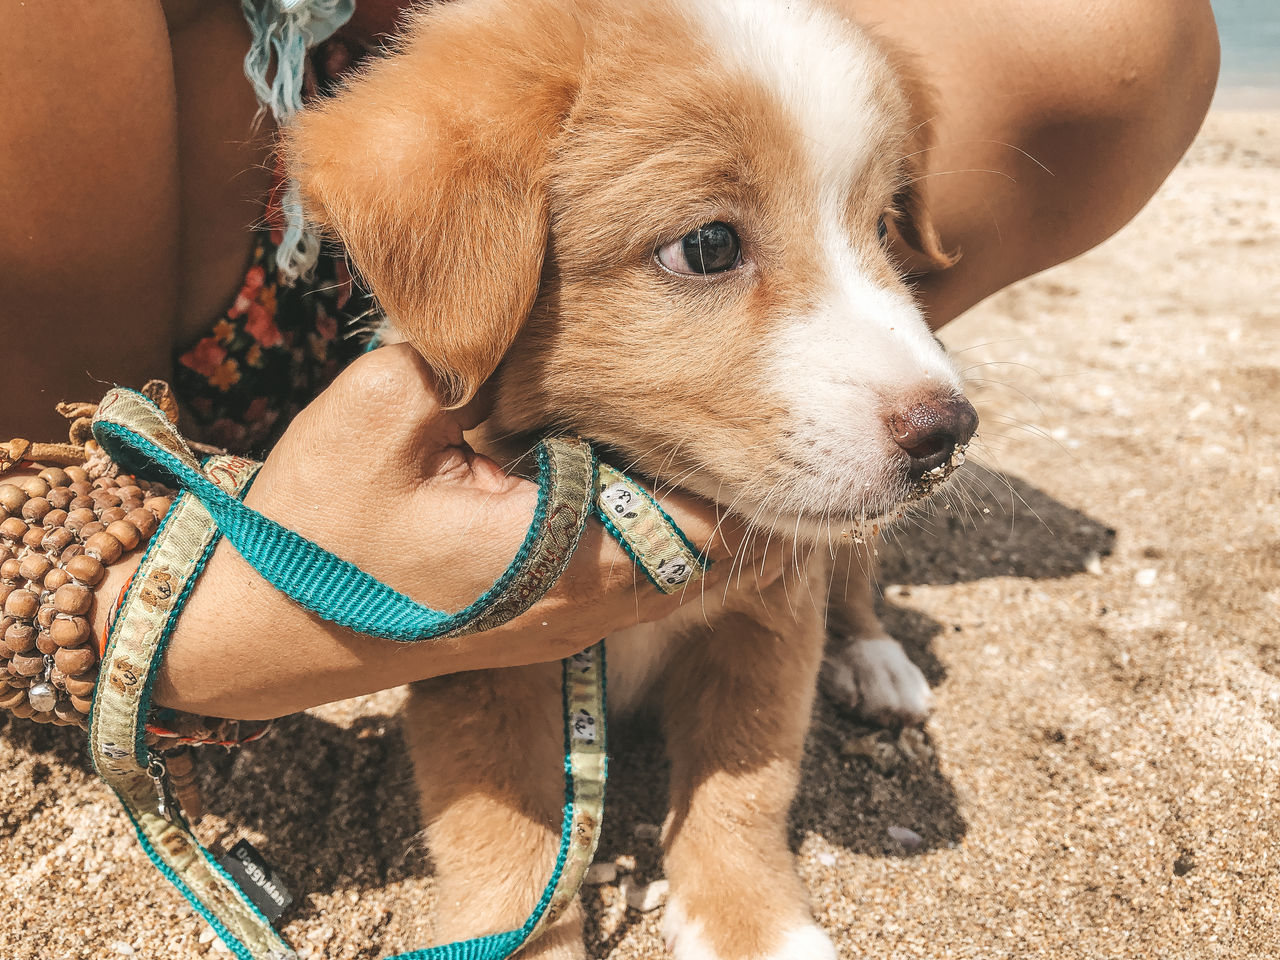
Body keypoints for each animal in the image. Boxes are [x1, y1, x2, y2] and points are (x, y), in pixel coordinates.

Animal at [288, 3, 967, 957]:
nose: (949, 431)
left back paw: (877, 662)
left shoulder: (770, 619)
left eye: (880, 228)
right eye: (708, 245)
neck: (624, 480)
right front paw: (514, 933)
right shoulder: (472, 665)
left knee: (856, 574)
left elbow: (744, 792)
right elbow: (498, 835)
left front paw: (755, 927)